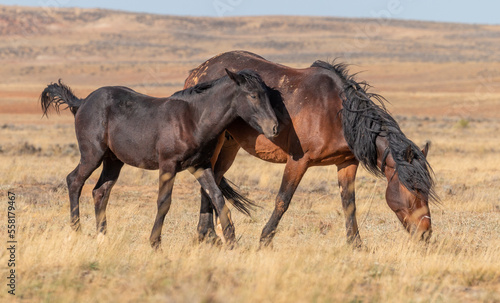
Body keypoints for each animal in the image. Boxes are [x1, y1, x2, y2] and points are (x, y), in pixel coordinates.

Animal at [41, 69, 280, 249]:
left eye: (267, 94)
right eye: (253, 95)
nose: (275, 128)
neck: (193, 119)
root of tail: (82, 102)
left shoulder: (200, 166)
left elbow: (217, 196)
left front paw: (231, 241)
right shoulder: (168, 165)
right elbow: (164, 202)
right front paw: (155, 243)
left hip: (113, 160)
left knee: (100, 191)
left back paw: (102, 238)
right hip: (92, 155)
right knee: (74, 181)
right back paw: (76, 232)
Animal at [185, 51, 438, 248]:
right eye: (415, 189)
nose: (426, 233)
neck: (337, 112)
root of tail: (196, 71)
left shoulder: (347, 162)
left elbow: (349, 203)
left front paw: (356, 244)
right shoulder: (298, 161)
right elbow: (283, 200)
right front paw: (265, 239)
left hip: (230, 144)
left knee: (214, 179)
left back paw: (211, 235)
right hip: (216, 143)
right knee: (207, 181)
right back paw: (207, 235)